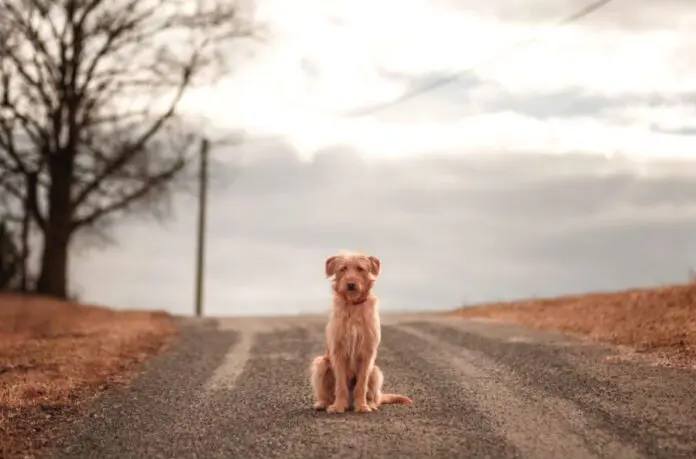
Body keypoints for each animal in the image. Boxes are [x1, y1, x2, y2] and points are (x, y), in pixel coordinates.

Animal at [308, 252, 410, 414]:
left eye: (360, 269)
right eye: (343, 268)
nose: (350, 284)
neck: (353, 305)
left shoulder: (367, 353)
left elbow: (361, 384)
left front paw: (362, 406)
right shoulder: (338, 352)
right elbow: (340, 385)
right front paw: (338, 406)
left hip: (375, 371)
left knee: (373, 395)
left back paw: (370, 404)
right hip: (320, 363)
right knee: (326, 394)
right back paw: (323, 404)